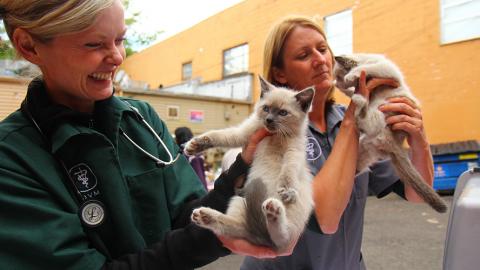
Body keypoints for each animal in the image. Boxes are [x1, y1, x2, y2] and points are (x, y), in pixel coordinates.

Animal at [184, 77, 316, 252]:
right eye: (266, 108)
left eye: (282, 113)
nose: (269, 120)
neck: (273, 136)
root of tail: (261, 237)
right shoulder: (243, 135)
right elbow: (219, 135)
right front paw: (194, 145)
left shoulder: (294, 152)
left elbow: (289, 170)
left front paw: (287, 189)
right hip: (239, 201)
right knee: (240, 228)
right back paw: (205, 216)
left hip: (292, 218)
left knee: (282, 238)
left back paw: (274, 211)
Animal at [332, 53, 448, 213]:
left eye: (339, 76)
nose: (337, 83)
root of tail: (393, 143)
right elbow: (353, 89)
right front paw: (346, 88)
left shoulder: (387, 71)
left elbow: (367, 68)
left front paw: (352, 76)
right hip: (364, 145)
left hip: (381, 109)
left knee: (364, 119)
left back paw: (360, 100)